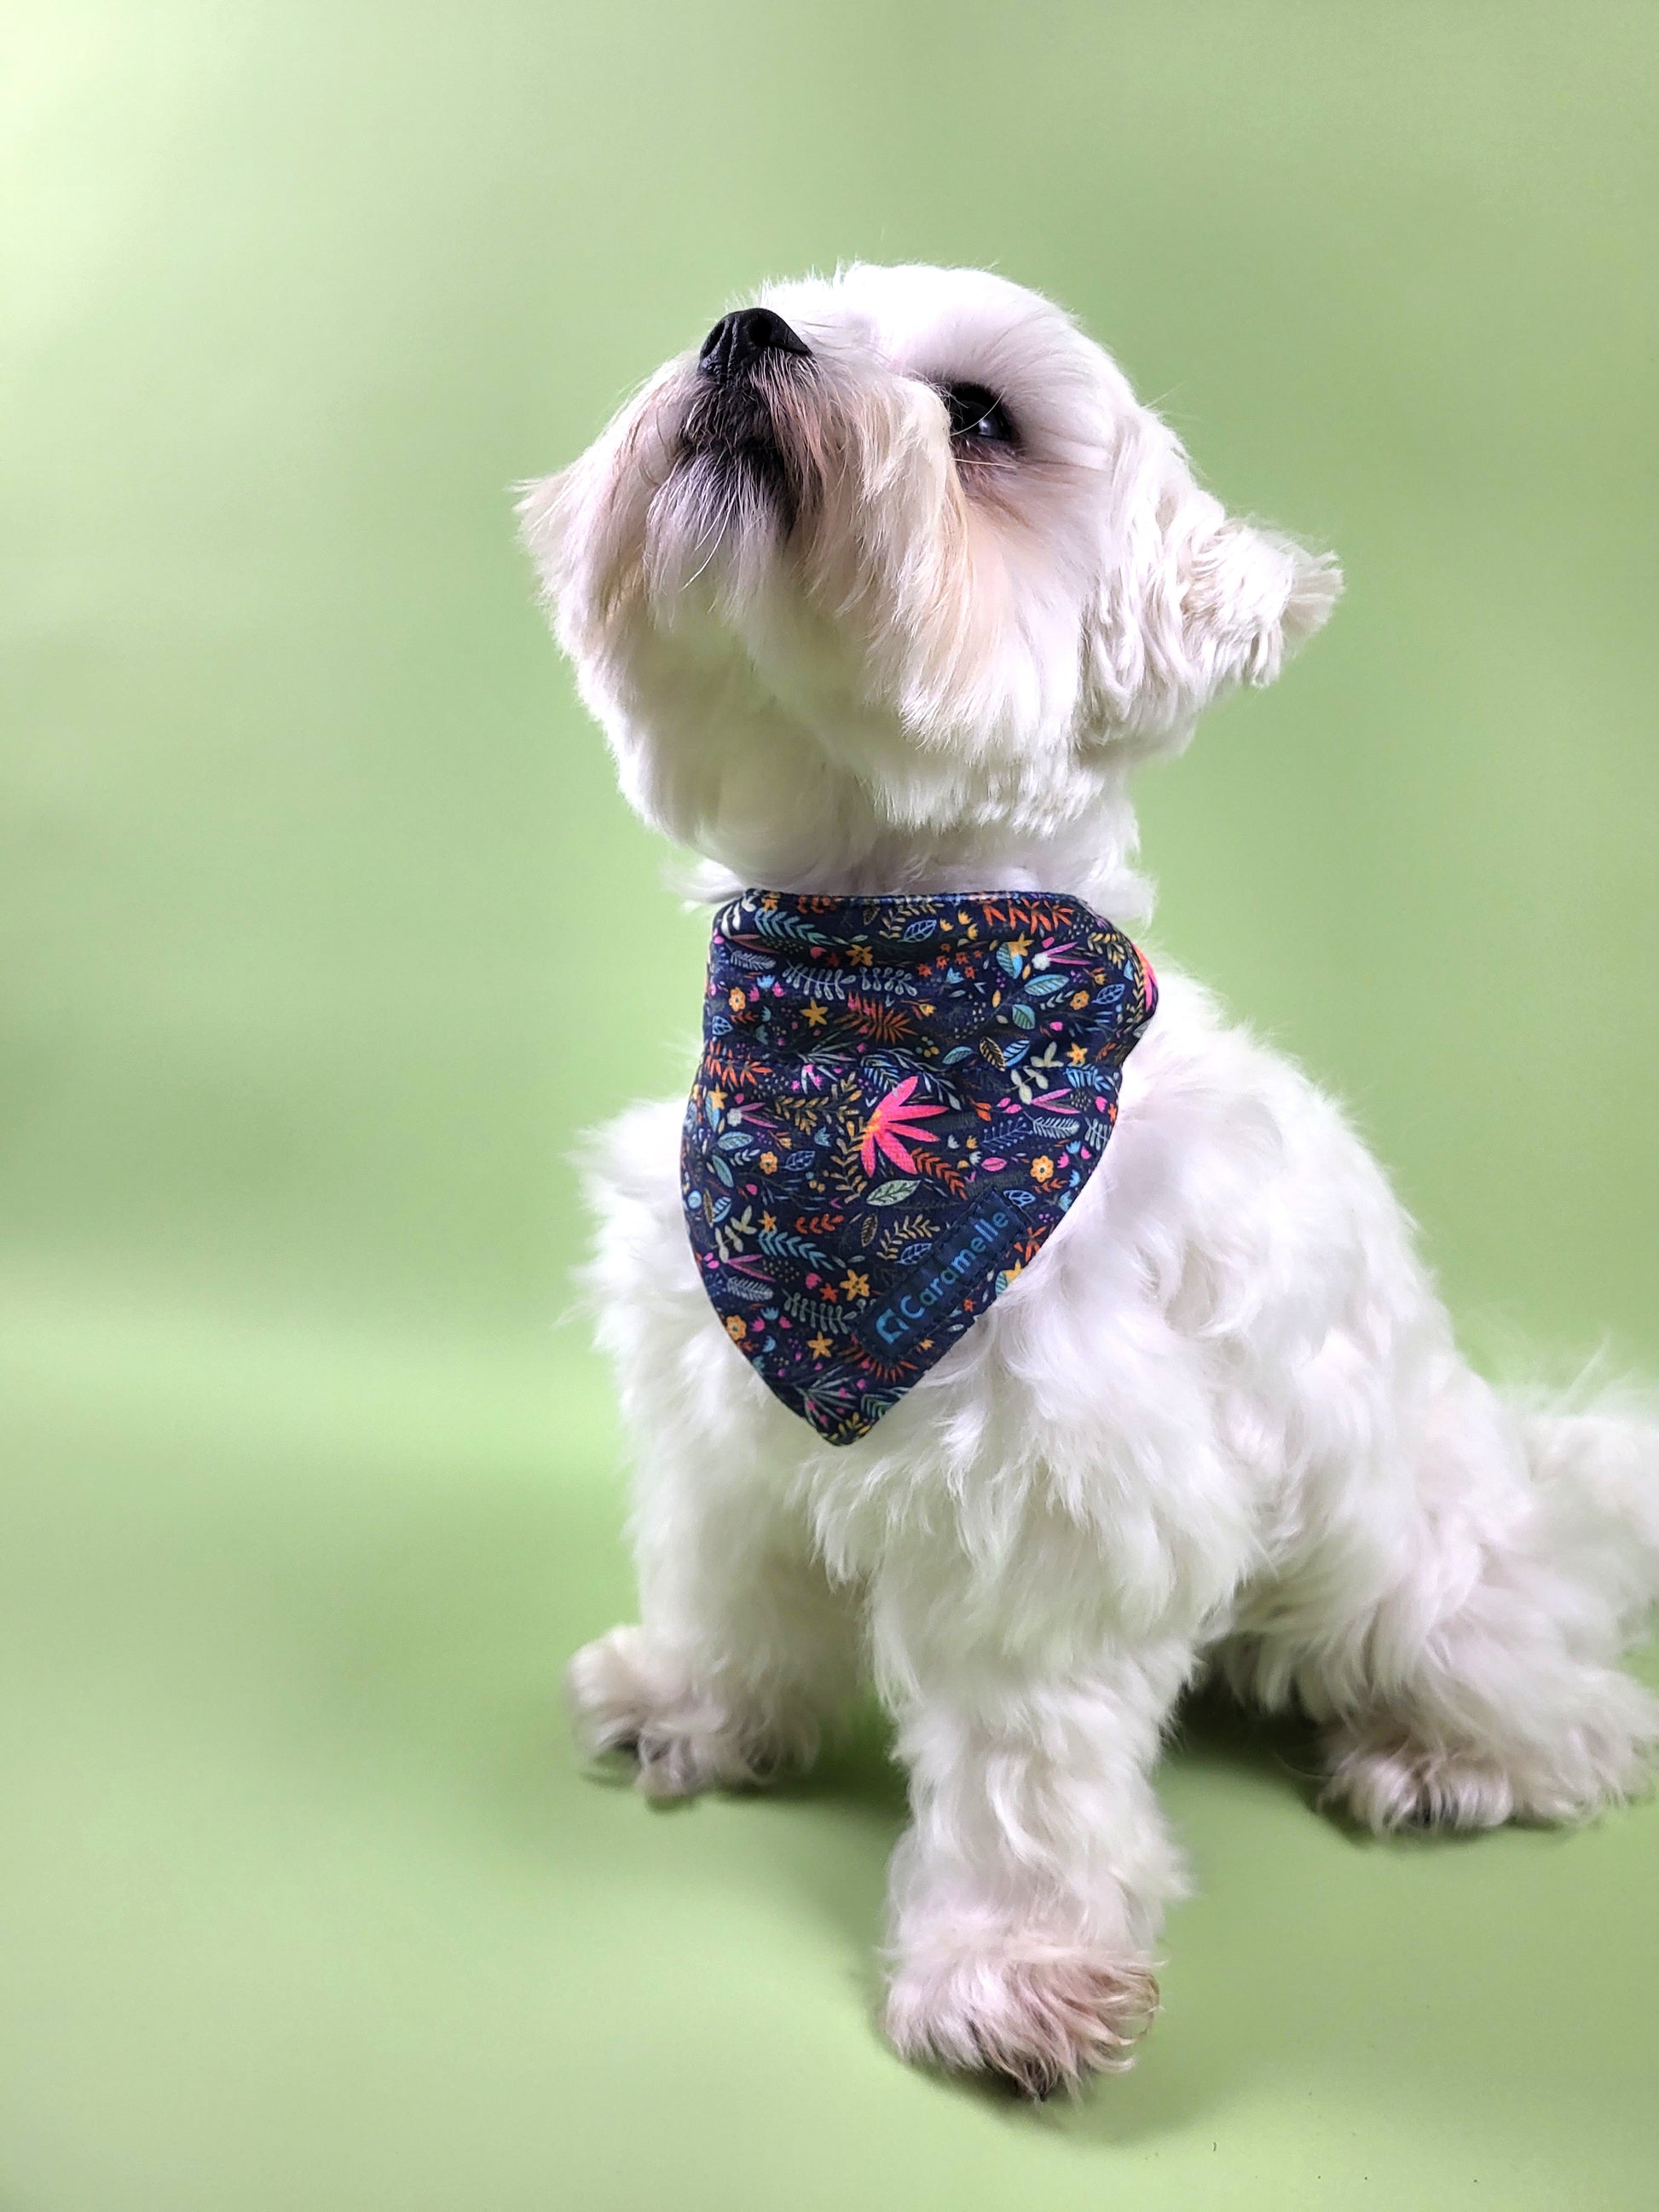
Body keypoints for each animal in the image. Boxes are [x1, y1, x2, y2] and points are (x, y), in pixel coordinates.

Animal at [526, 258, 1659, 2088]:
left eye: (979, 415)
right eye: (773, 309)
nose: (741, 334)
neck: (867, 1003)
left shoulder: (1051, 1496)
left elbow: (1025, 1769)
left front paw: (1004, 1968)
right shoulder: (719, 1399)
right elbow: (730, 1578)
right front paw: (702, 1707)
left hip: (1406, 1572)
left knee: (1569, 1706)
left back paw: (1440, 1761)